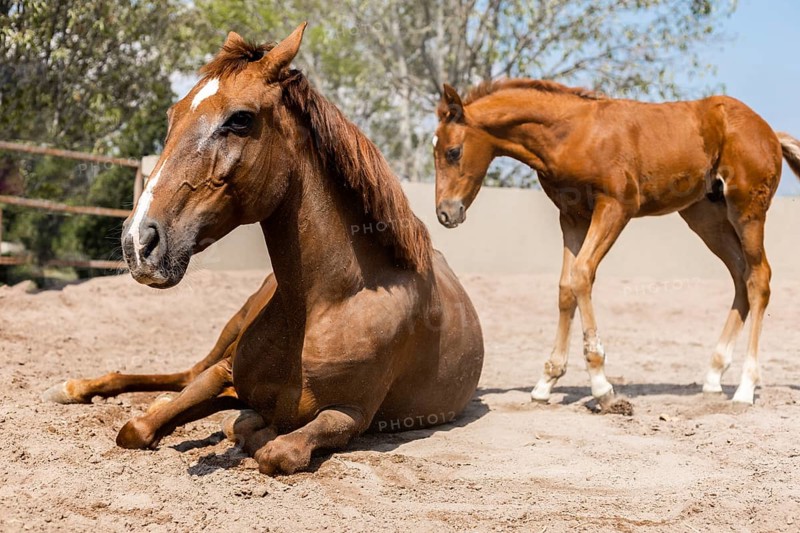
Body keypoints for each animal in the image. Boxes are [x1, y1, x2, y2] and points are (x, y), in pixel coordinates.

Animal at [43, 23, 484, 475]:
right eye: (172, 115)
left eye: (240, 119)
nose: (138, 241)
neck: (328, 306)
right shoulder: (225, 370)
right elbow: (139, 428)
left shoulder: (352, 415)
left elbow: (277, 450)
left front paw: (245, 427)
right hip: (229, 330)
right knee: (185, 374)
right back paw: (76, 387)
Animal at [432, 78, 800, 408]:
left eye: (453, 151)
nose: (445, 213)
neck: (572, 134)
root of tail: (770, 132)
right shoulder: (572, 217)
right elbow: (566, 287)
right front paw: (546, 382)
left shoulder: (616, 207)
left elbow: (582, 275)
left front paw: (602, 388)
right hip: (705, 217)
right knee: (740, 276)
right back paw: (713, 378)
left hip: (747, 210)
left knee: (759, 278)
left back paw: (745, 388)